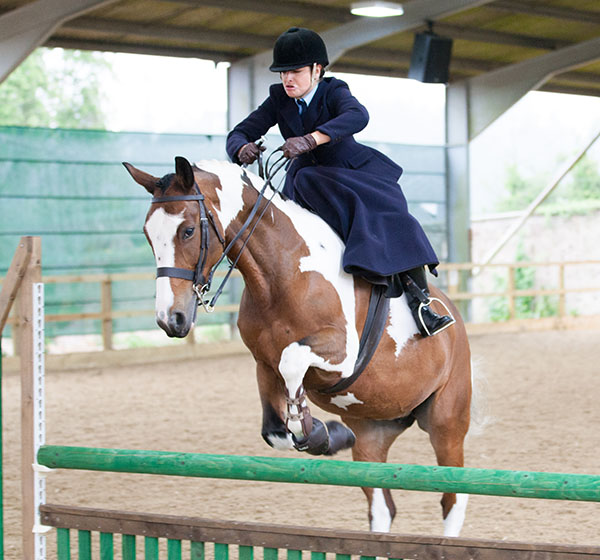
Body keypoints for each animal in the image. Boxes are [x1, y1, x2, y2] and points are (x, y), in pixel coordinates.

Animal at [124, 155, 474, 536]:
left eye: (187, 230)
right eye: (148, 234)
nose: (170, 319)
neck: (281, 273)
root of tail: (454, 317)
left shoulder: (341, 354)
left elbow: (293, 362)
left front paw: (311, 424)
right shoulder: (264, 364)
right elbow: (276, 430)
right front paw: (326, 434)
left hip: (446, 422)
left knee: (453, 498)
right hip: (373, 431)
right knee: (382, 505)